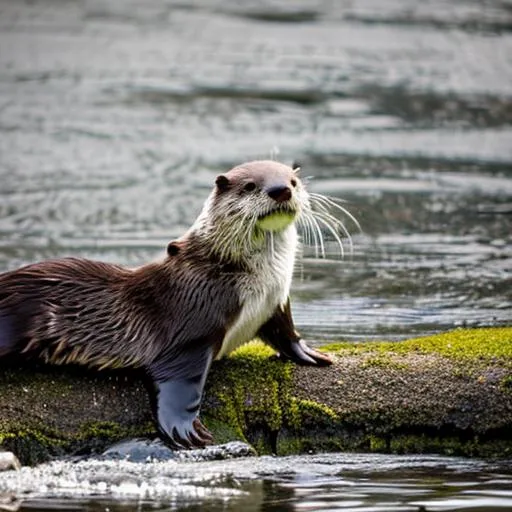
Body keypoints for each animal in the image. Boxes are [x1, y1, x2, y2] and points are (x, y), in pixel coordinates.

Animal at [1, 160, 340, 448]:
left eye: (293, 180)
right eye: (250, 186)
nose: (280, 189)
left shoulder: (274, 304)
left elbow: (286, 332)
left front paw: (311, 353)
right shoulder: (192, 328)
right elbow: (178, 383)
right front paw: (185, 429)